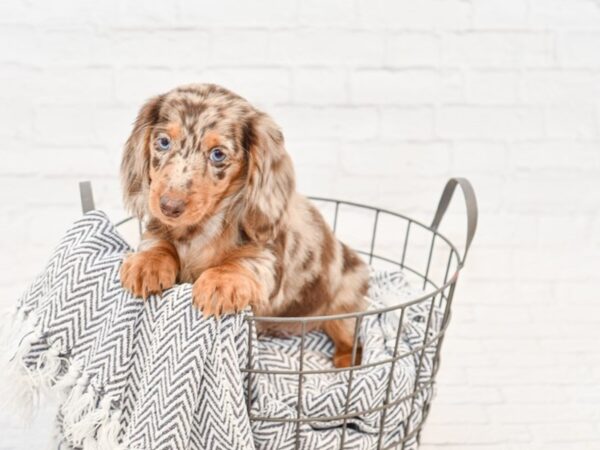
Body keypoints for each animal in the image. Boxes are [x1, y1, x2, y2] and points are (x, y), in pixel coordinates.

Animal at [119, 82, 368, 368]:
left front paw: (219, 282)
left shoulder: (267, 257)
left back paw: (345, 362)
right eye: (163, 142)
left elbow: (242, 262)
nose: (169, 206)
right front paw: (147, 263)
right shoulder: (159, 227)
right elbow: (158, 241)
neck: (202, 228)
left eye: (218, 154)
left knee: (350, 339)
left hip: (344, 306)